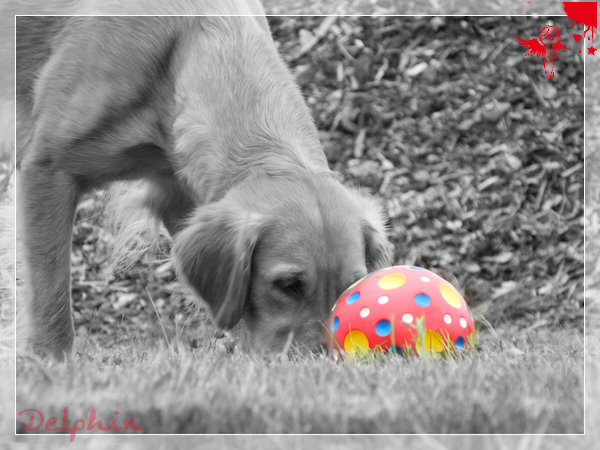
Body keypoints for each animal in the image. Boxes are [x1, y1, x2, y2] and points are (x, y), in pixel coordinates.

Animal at [16, 2, 394, 359]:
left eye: (351, 289)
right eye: (287, 284)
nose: (324, 364)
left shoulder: (178, 193)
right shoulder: (46, 169)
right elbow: (51, 301)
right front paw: (52, 365)